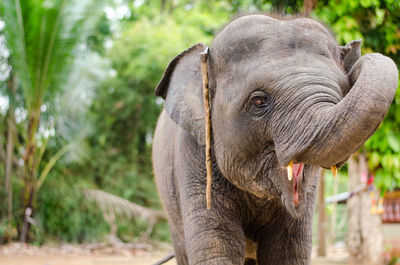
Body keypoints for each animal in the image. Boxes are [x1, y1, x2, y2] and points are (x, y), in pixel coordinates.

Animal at [151, 14, 396, 264]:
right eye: (259, 101)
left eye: (343, 91)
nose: (353, 47)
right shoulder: (192, 157)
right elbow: (218, 248)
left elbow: (287, 251)